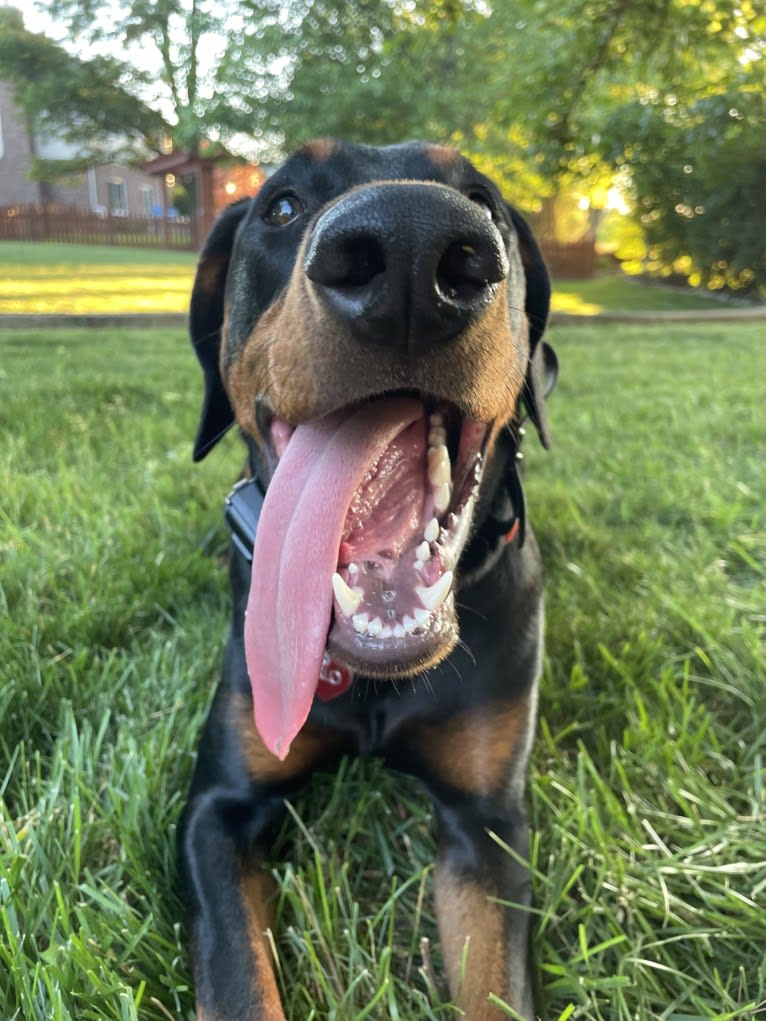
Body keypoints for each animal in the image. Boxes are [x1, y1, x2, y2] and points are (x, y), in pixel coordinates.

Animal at [182, 137, 559, 1021]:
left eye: (483, 200)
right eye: (280, 205)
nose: (412, 245)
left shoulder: (488, 822)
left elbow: (498, 984)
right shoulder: (215, 808)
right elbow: (241, 984)